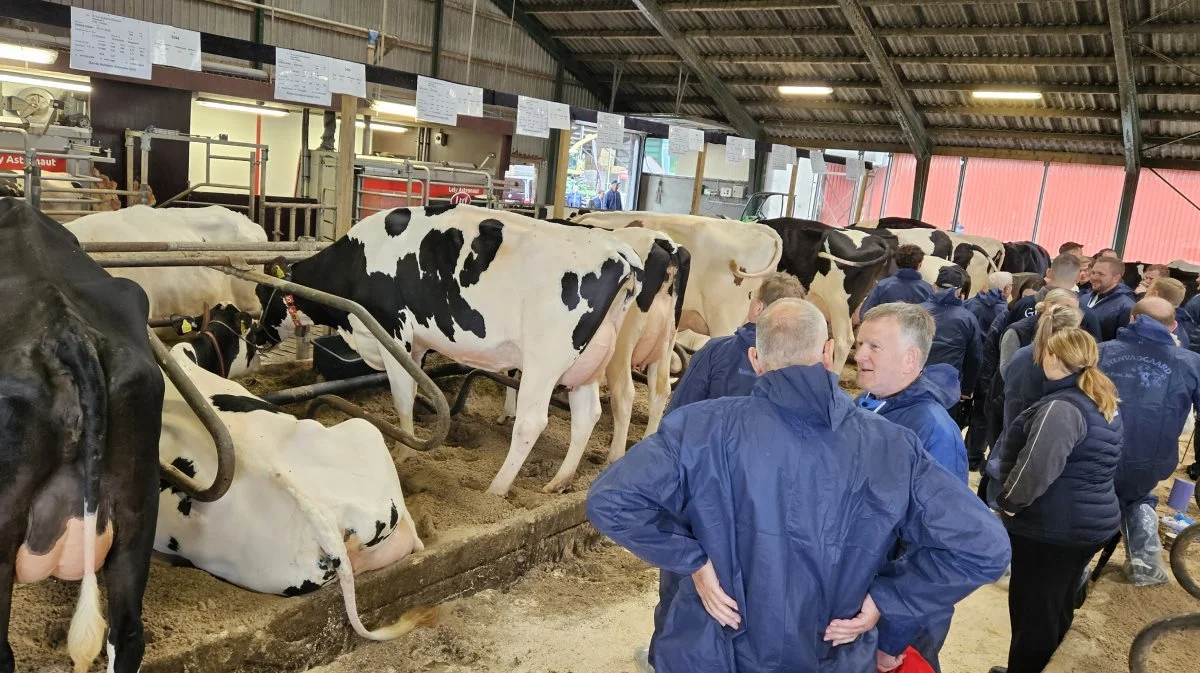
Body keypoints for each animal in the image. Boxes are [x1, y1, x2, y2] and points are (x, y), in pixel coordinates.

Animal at [253, 203, 643, 494]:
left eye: (261, 294)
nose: (255, 337)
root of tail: (619, 251)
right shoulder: (414, 345)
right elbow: (412, 392)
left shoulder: (392, 332)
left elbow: (402, 398)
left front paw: (403, 450)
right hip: (587, 362)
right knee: (588, 413)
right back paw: (559, 481)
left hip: (545, 359)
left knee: (532, 423)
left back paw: (495, 489)